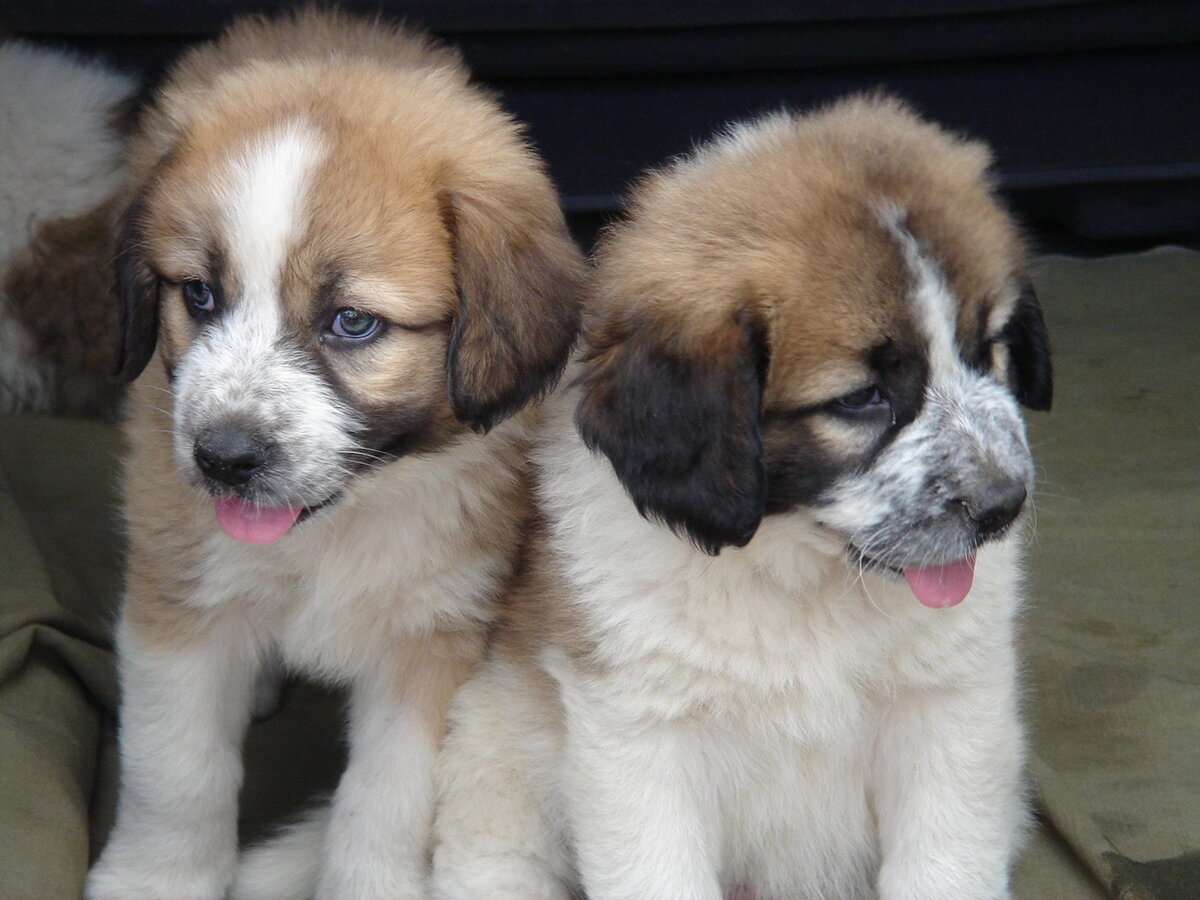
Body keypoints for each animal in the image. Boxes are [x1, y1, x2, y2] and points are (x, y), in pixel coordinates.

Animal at [84, 8, 580, 900]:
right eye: (199, 294)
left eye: (352, 322)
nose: (224, 457)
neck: (338, 524)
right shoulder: (182, 599)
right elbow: (175, 771)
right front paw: (155, 879)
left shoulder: (432, 641)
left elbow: (385, 803)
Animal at [432, 93, 1051, 900]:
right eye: (862, 399)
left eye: (987, 352)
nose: (1002, 505)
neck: (802, 582)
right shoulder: (642, 741)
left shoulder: (951, 712)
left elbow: (945, 864)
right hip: (493, 778)